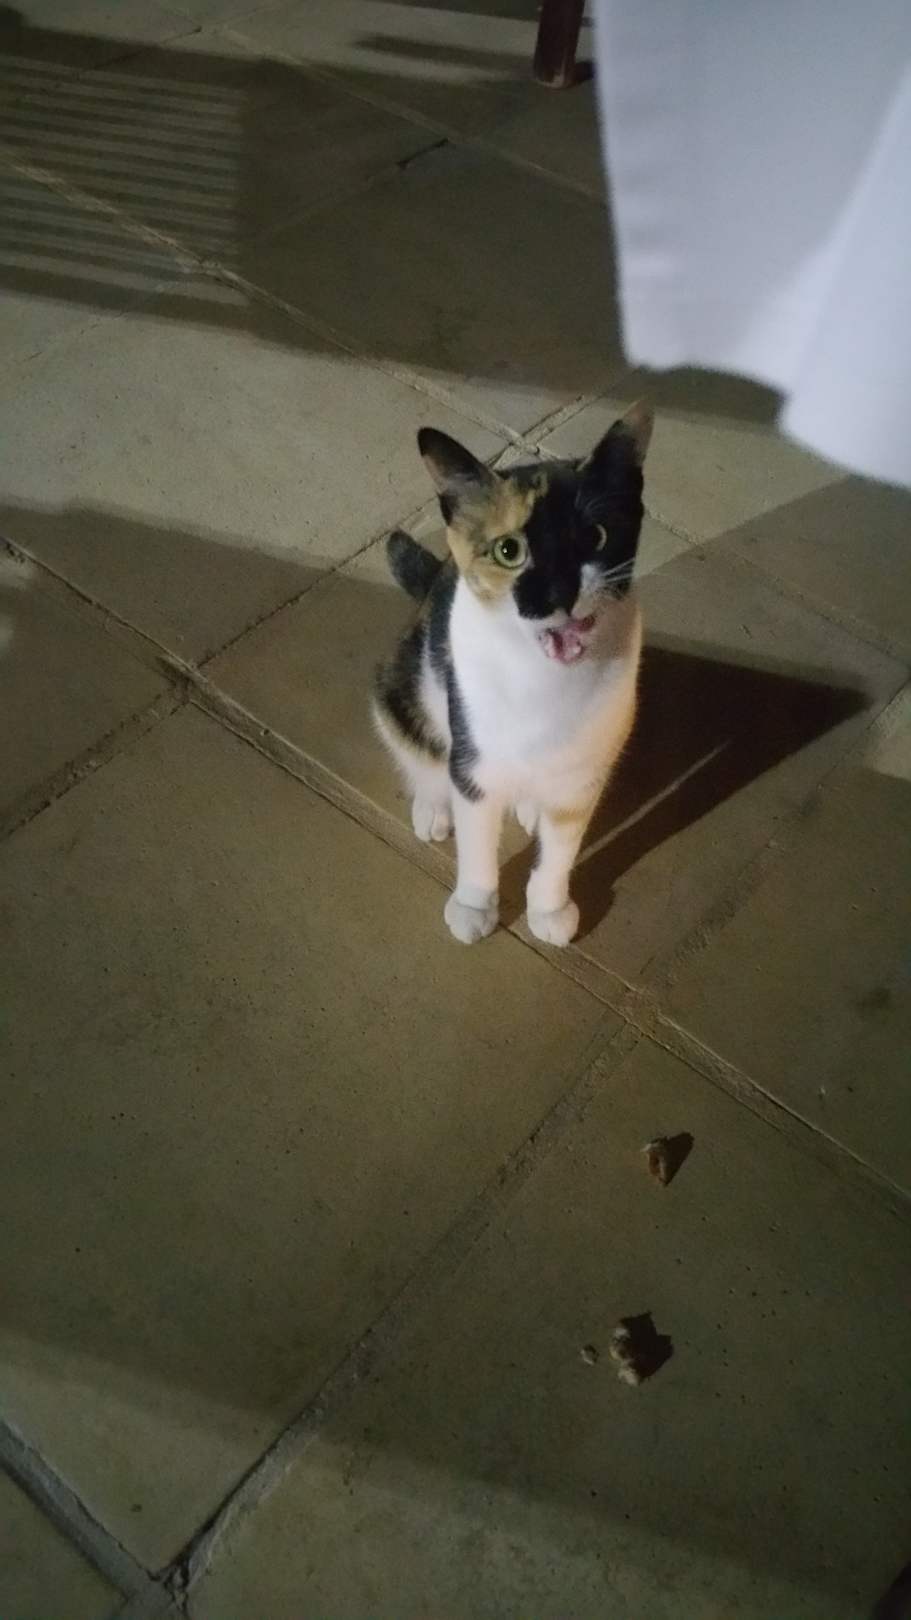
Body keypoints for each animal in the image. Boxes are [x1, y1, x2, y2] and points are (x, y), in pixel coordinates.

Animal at [373, 401, 652, 946]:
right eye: (509, 551)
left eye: (596, 536)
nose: (556, 594)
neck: (544, 678)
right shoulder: (474, 760)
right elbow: (477, 840)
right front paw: (474, 904)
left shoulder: (583, 775)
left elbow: (561, 848)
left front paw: (550, 907)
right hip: (401, 689)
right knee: (422, 754)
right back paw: (433, 807)